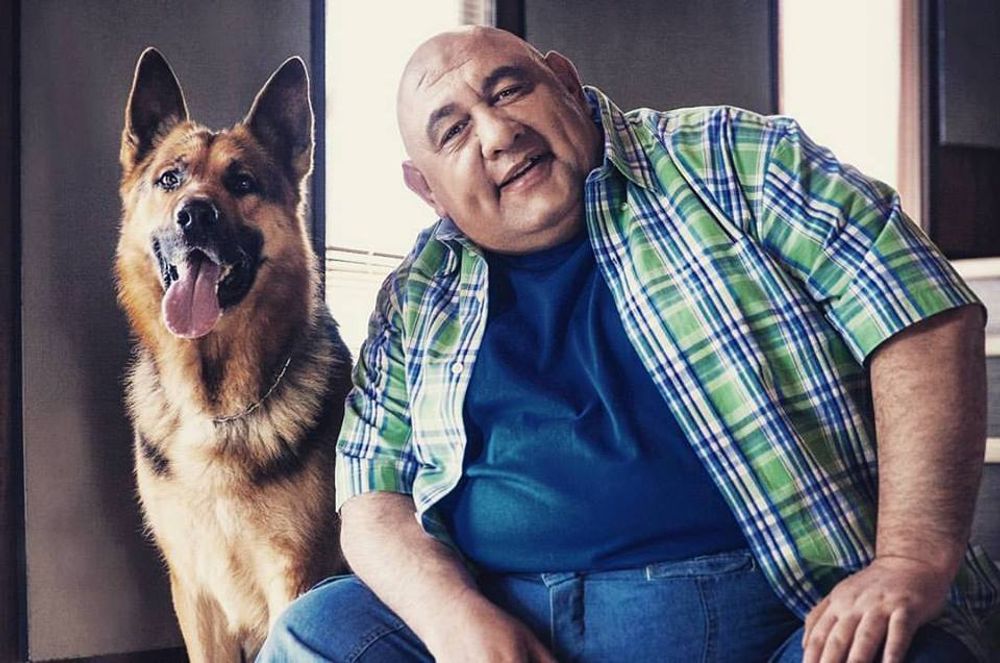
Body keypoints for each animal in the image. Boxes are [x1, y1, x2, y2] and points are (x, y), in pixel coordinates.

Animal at [115, 48, 353, 660]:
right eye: (169, 179)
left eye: (242, 181)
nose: (195, 214)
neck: (217, 407)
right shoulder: (194, 594)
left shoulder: (293, 579)